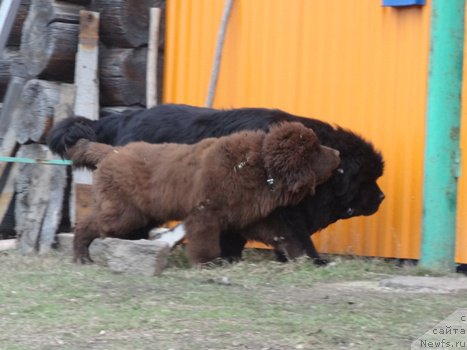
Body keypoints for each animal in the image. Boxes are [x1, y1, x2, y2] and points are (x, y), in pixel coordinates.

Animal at [47, 105, 386, 264]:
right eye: (367, 179)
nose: (382, 197)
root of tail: (121, 119)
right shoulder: (280, 213)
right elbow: (296, 235)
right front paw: (315, 260)